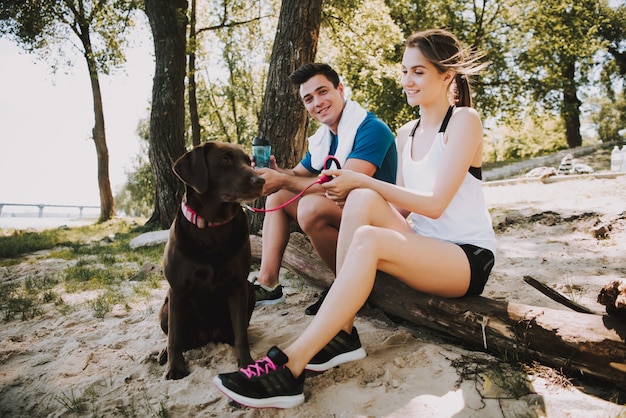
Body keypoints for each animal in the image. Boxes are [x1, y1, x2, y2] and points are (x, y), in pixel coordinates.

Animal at [158, 140, 264, 378]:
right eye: (225, 159)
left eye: (248, 161)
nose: (260, 180)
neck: (212, 227)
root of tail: (207, 336)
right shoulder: (177, 290)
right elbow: (174, 337)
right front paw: (175, 367)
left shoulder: (237, 285)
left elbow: (241, 334)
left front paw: (246, 363)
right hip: (166, 305)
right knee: (175, 336)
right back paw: (163, 354)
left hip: (249, 290)